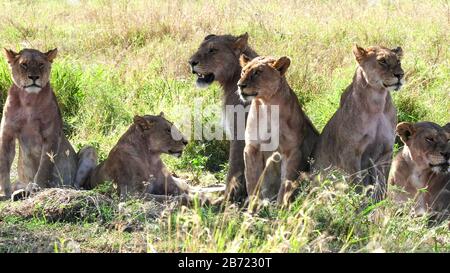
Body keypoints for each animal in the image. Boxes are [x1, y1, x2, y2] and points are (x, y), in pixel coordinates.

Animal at [0, 47, 97, 200]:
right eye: (24, 64)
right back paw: (19, 193)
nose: (34, 77)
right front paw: (4, 192)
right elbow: (3, 165)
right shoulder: (7, 135)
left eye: (41, 64)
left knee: (75, 184)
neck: (28, 100)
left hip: (89, 150)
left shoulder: (51, 135)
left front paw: (37, 188)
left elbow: (43, 167)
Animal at [81, 112, 225, 204]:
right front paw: (203, 199)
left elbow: (188, 192)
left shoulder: (172, 186)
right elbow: (166, 198)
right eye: (168, 130)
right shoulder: (131, 194)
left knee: (195, 187)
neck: (151, 158)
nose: (186, 141)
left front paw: (208, 198)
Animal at [188, 32, 256, 202]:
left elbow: (233, 170)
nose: (190, 62)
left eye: (213, 50)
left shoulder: (239, 133)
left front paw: (226, 198)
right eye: (200, 48)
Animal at [237, 55, 318, 203]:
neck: (267, 105)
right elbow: (252, 181)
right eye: (243, 72)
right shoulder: (252, 147)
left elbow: (285, 183)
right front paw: (253, 204)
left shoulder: (291, 150)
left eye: (258, 72)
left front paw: (281, 206)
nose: (240, 85)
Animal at [312, 44, 404, 201]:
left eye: (398, 61)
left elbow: (381, 185)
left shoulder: (385, 152)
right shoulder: (350, 153)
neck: (377, 103)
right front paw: (359, 204)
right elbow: (357, 185)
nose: (400, 75)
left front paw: (379, 204)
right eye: (382, 61)